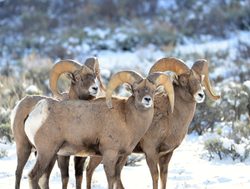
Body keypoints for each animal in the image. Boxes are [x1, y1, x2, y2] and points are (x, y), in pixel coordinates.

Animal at [11, 57, 103, 189]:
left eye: (94, 76)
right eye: (78, 77)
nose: (94, 88)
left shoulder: (80, 156)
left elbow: (78, 176)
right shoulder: (62, 156)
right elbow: (65, 178)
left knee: (43, 178)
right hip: (26, 148)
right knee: (19, 172)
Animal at [24, 70, 175, 189]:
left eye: (153, 90)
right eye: (136, 90)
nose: (147, 99)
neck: (127, 119)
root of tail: (37, 111)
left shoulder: (122, 156)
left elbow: (116, 178)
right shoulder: (109, 154)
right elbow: (111, 179)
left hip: (50, 155)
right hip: (46, 152)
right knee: (33, 176)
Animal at [85, 57, 220, 189]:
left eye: (200, 80)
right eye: (183, 80)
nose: (200, 95)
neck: (170, 117)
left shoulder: (167, 154)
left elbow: (164, 177)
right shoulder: (150, 152)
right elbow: (155, 176)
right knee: (91, 170)